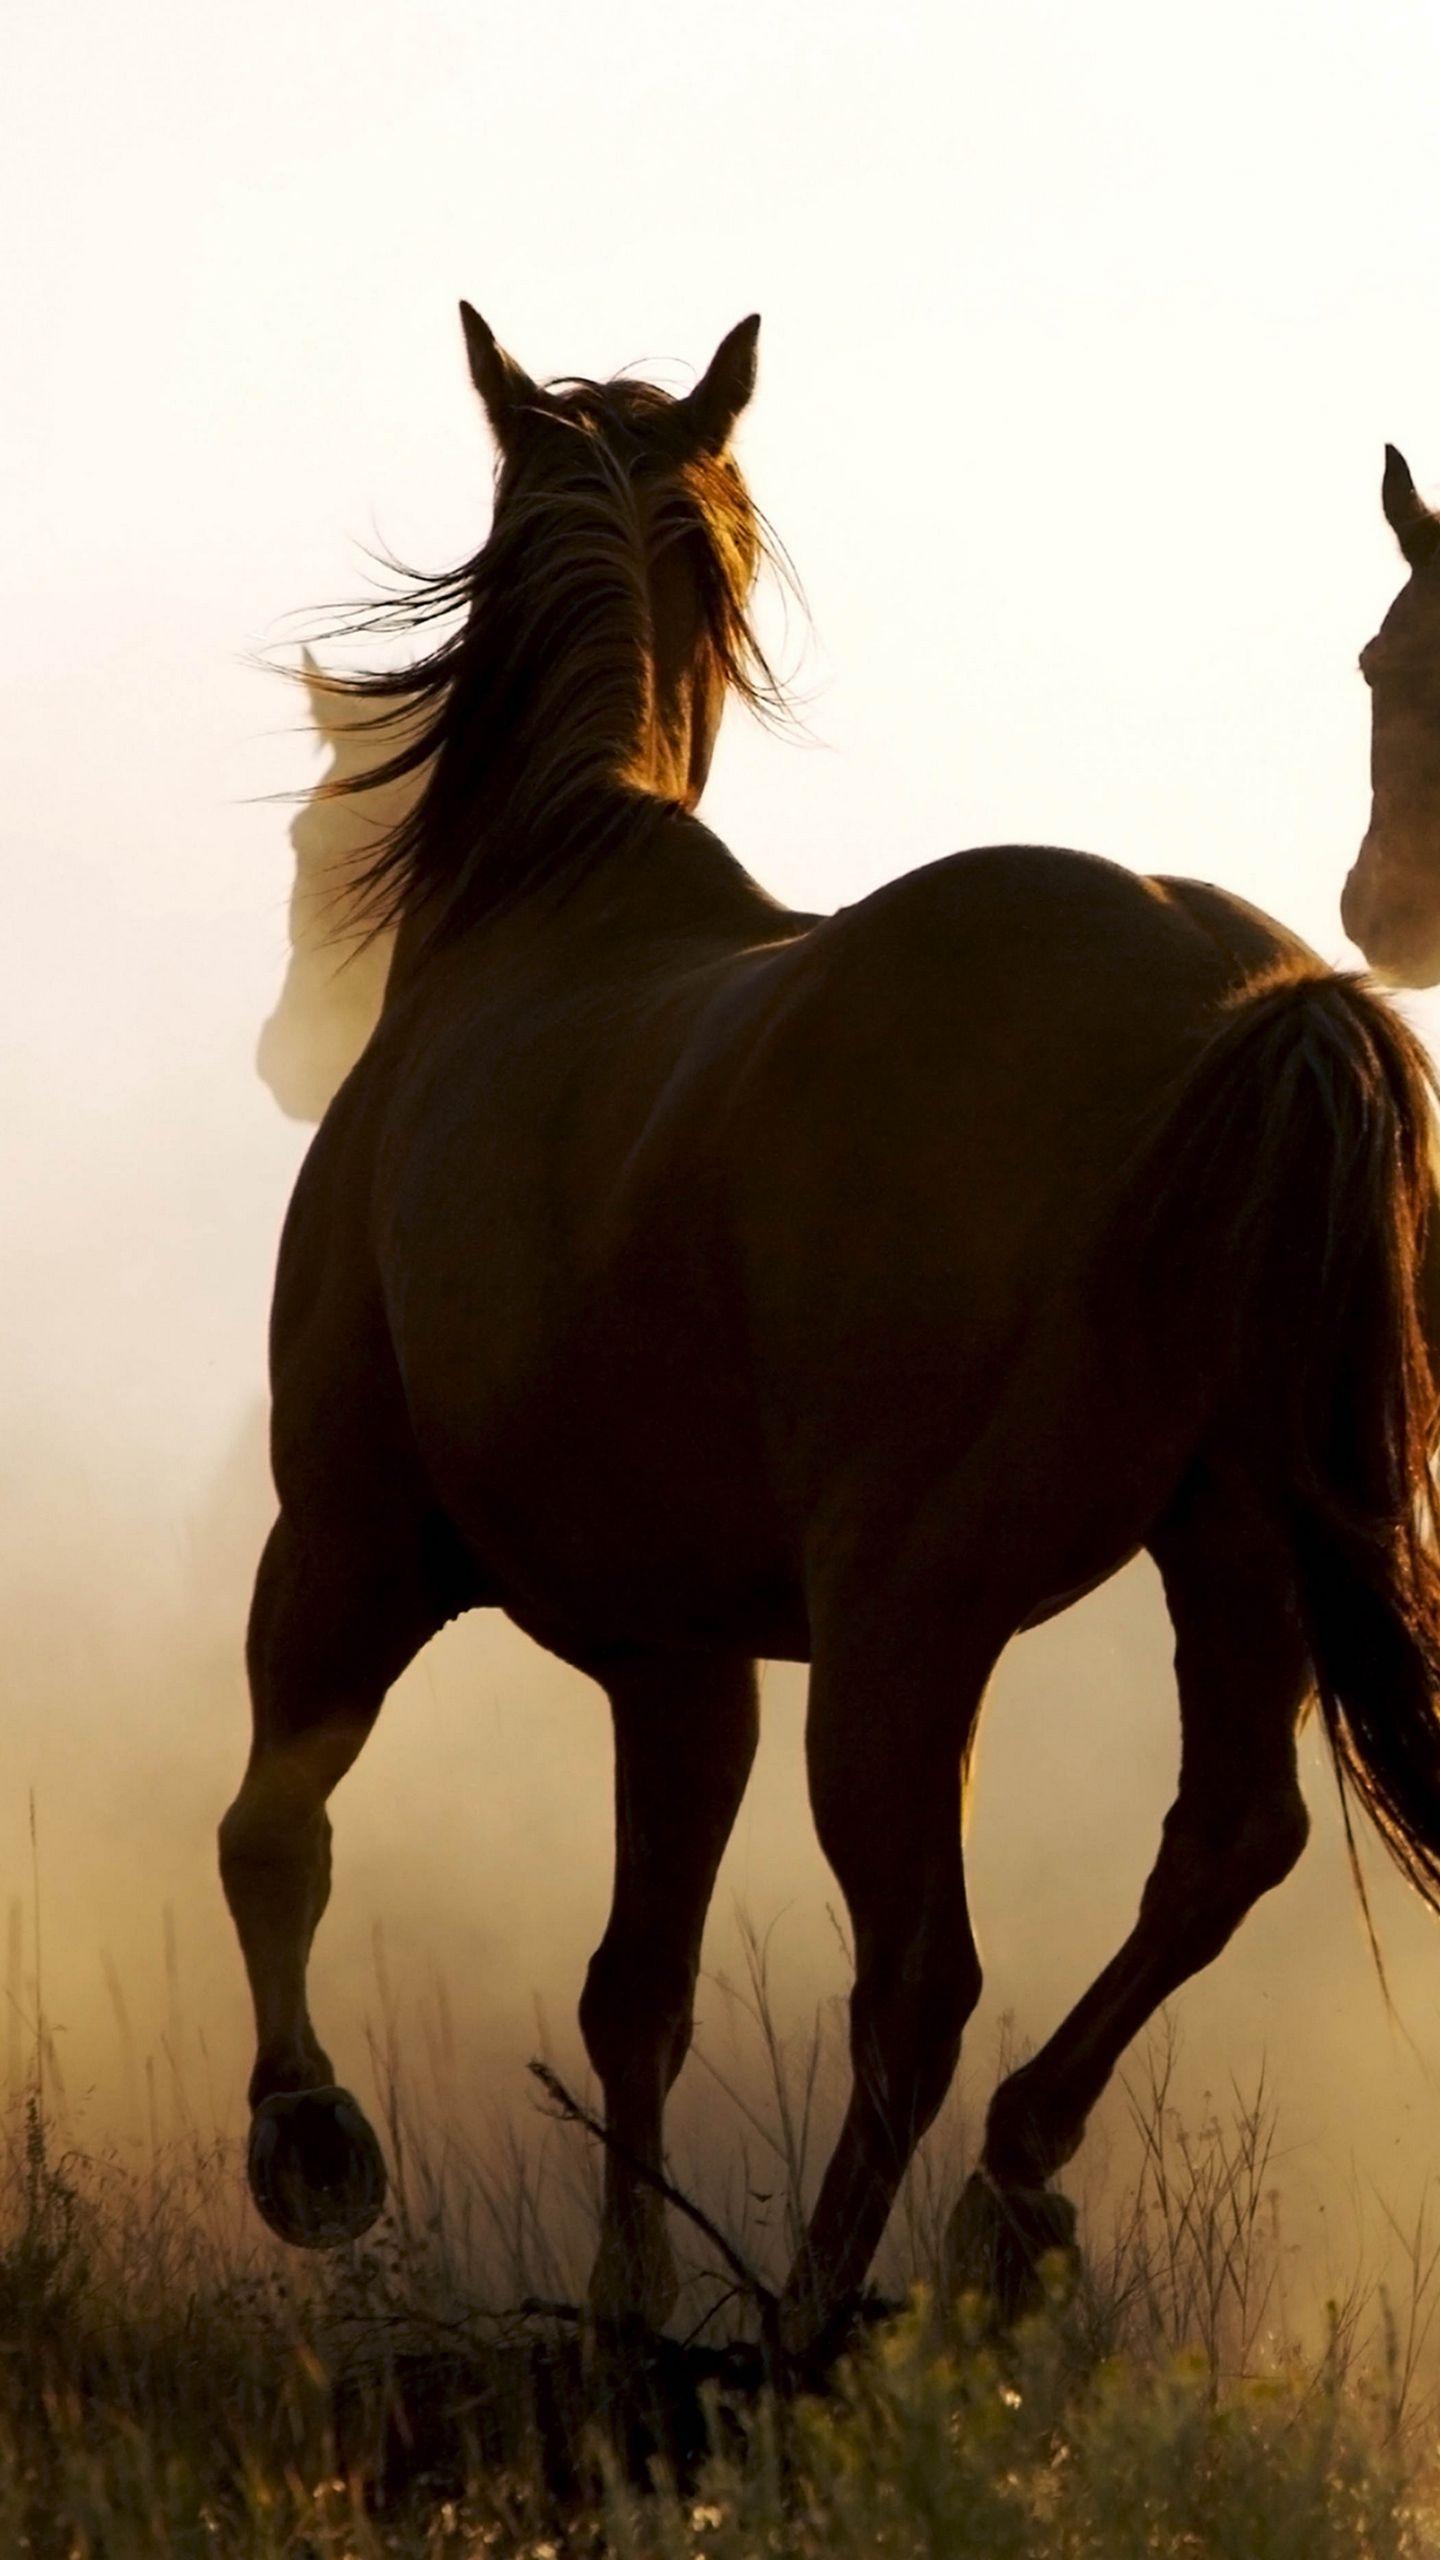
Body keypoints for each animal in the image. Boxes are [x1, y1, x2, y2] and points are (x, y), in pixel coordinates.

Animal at [220, 304, 1440, 2357]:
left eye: (327, 827)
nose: (283, 1048)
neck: (542, 912)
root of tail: (1251, 1004)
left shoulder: (343, 1545)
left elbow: (272, 1833)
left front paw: (313, 2147)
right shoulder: (678, 1660)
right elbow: (634, 1988)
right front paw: (627, 2303)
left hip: (903, 1633)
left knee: (923, 1978)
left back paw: (814, 2322)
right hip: (1233, 1555)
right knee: (1216, 1853)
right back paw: (1006, 2203)